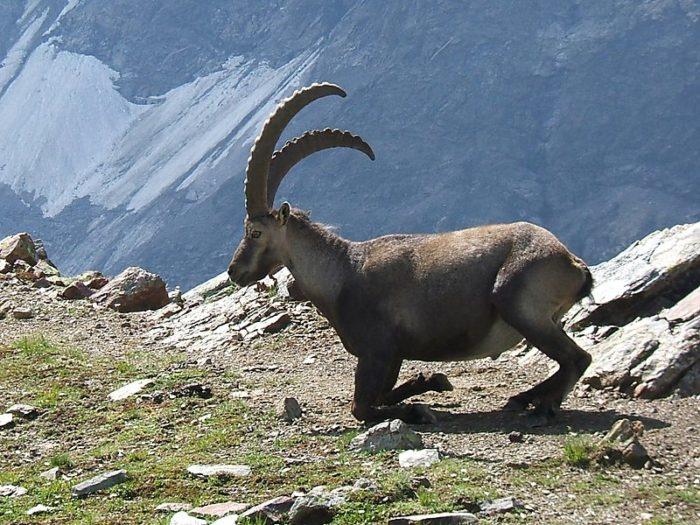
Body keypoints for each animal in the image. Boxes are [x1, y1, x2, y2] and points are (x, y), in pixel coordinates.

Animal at [228, 83, 593, 424]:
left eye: (255, 232)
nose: (234, 271)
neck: (342, 273)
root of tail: (573, 264)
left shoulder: (378, 351)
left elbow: (361, 408)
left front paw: (417, 410)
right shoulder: (394, 355)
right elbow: (386, 393)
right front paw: (432, 379)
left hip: (518, 303)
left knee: (577, 359)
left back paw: (542, 405)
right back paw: (521, 398)